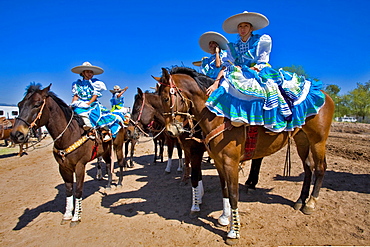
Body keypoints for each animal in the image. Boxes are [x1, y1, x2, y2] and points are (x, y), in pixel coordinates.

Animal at [9, 84, 127, 228]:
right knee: (109, 164)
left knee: (120, 163)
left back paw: (119, 183)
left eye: (37, 104)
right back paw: (109, 186)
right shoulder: (63, 168)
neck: (69, 134)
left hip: (118, 146)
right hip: (105, 151)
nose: (16, 135)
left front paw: (76, 218)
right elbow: (69, 191)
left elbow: (78, 191)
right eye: (19, 105)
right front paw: (66, 215)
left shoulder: (80, 166)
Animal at [157, 67, 336, 245]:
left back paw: (311, 203)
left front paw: (233, 232)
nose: (170, 131)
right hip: (302, 140)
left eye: (166, 98)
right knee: (308, 167)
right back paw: (300, 200)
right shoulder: (218, 162)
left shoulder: (230, 162)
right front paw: (224, 217)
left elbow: (234, 194)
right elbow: (225, 190)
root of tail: (326, 96)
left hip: (318, 140)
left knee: (320, 168)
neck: (217, 115)